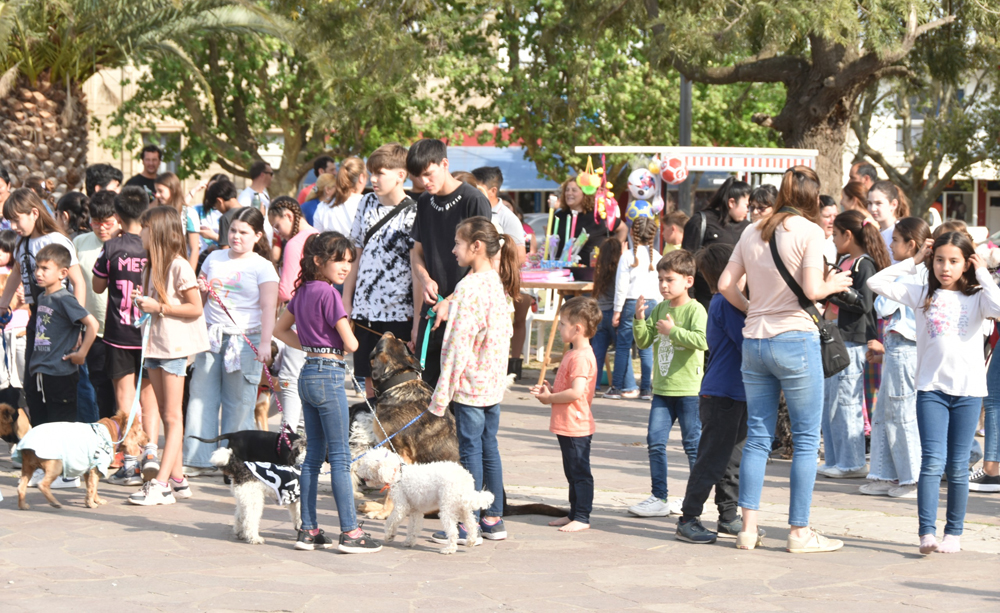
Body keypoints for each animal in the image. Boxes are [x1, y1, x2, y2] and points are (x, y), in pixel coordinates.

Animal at [15, 414, 149, 510]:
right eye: (140, 429)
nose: (149, 438)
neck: (113, 430)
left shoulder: (88, 470)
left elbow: (91, 487)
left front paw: (93, 500)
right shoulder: (96, 468)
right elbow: (93, 487)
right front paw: (91, 503)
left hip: (28, 468)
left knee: (21, 488)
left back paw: (22, 505)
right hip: (56, 465)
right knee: (42, 485)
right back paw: (54, 502)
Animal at [358, 332, 564, 520]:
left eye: (384, 342)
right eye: (400, 341)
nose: (389, 332)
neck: (398, 382)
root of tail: (504, 507)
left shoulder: (400, 455)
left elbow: (392, 493)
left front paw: (384, 512)